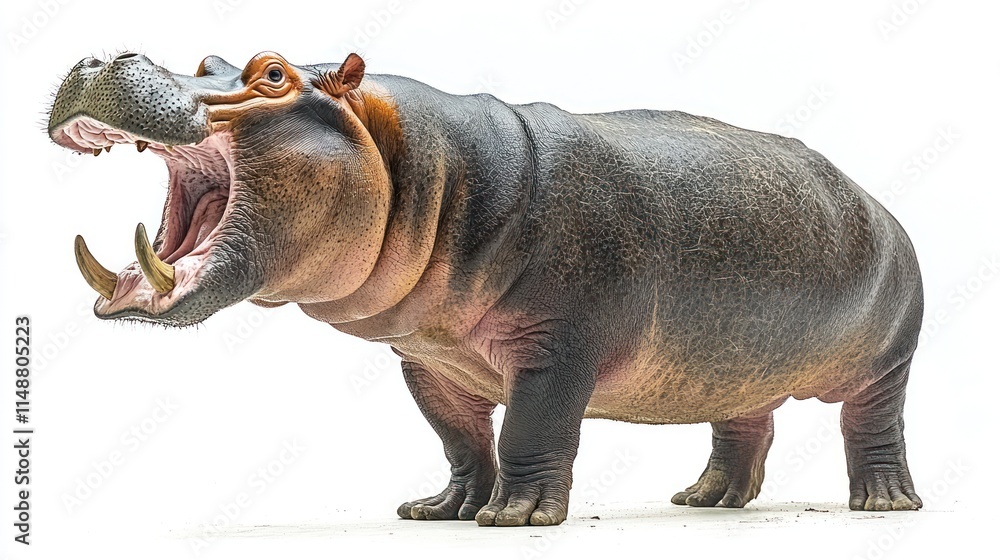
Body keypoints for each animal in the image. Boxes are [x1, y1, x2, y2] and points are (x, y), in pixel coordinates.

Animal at [48, 51, 923, 526]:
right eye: (205, 65)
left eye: (271, 73)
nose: (100, 57)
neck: (425, 170)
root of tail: (879, 202)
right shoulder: (425, 359)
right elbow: (460, 438)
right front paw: (441, 512)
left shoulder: (556, 352)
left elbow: (531, 430)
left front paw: (513, 518)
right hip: (736, 363)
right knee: (744, 423)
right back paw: (704, 499)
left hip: (886, 361)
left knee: (872, 426)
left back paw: (884, 504)